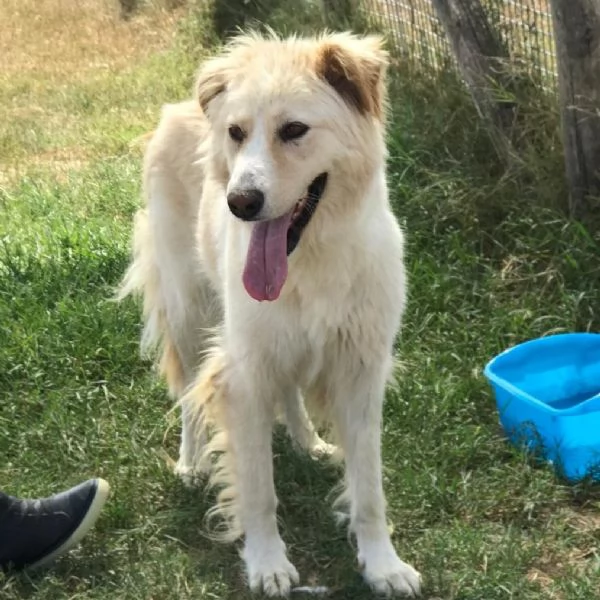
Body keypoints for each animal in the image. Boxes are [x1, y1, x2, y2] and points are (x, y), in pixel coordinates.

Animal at [120, 31, 422, 596]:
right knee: (189, 393)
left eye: (294, 130)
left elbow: (369, 488)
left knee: (289, 390)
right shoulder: (243, 375)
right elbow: (258, 486)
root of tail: (180, 107)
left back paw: (308, 442)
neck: (310, 259)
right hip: (190, 312)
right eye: (236, 133)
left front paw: (382, 564)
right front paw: (266, 562)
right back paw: (191, 461)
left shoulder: (360, 372)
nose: (239, 202)